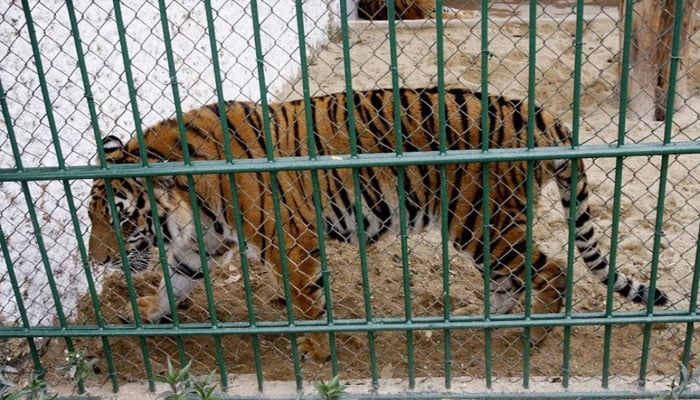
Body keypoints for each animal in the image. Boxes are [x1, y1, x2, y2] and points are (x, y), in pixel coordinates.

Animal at [87, 86, 668, 364]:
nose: (97, 260)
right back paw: (486, 320)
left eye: (118, 218)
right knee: (513, 281)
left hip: (484, 225)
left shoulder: (291, 245)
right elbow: (173, 282)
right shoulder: (201, 245)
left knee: (553, 274)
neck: (191, 201)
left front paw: (317, 354)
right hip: (485, 232)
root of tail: (537, 114)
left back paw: (533, 336)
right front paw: (143, 319)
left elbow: (307, 303)